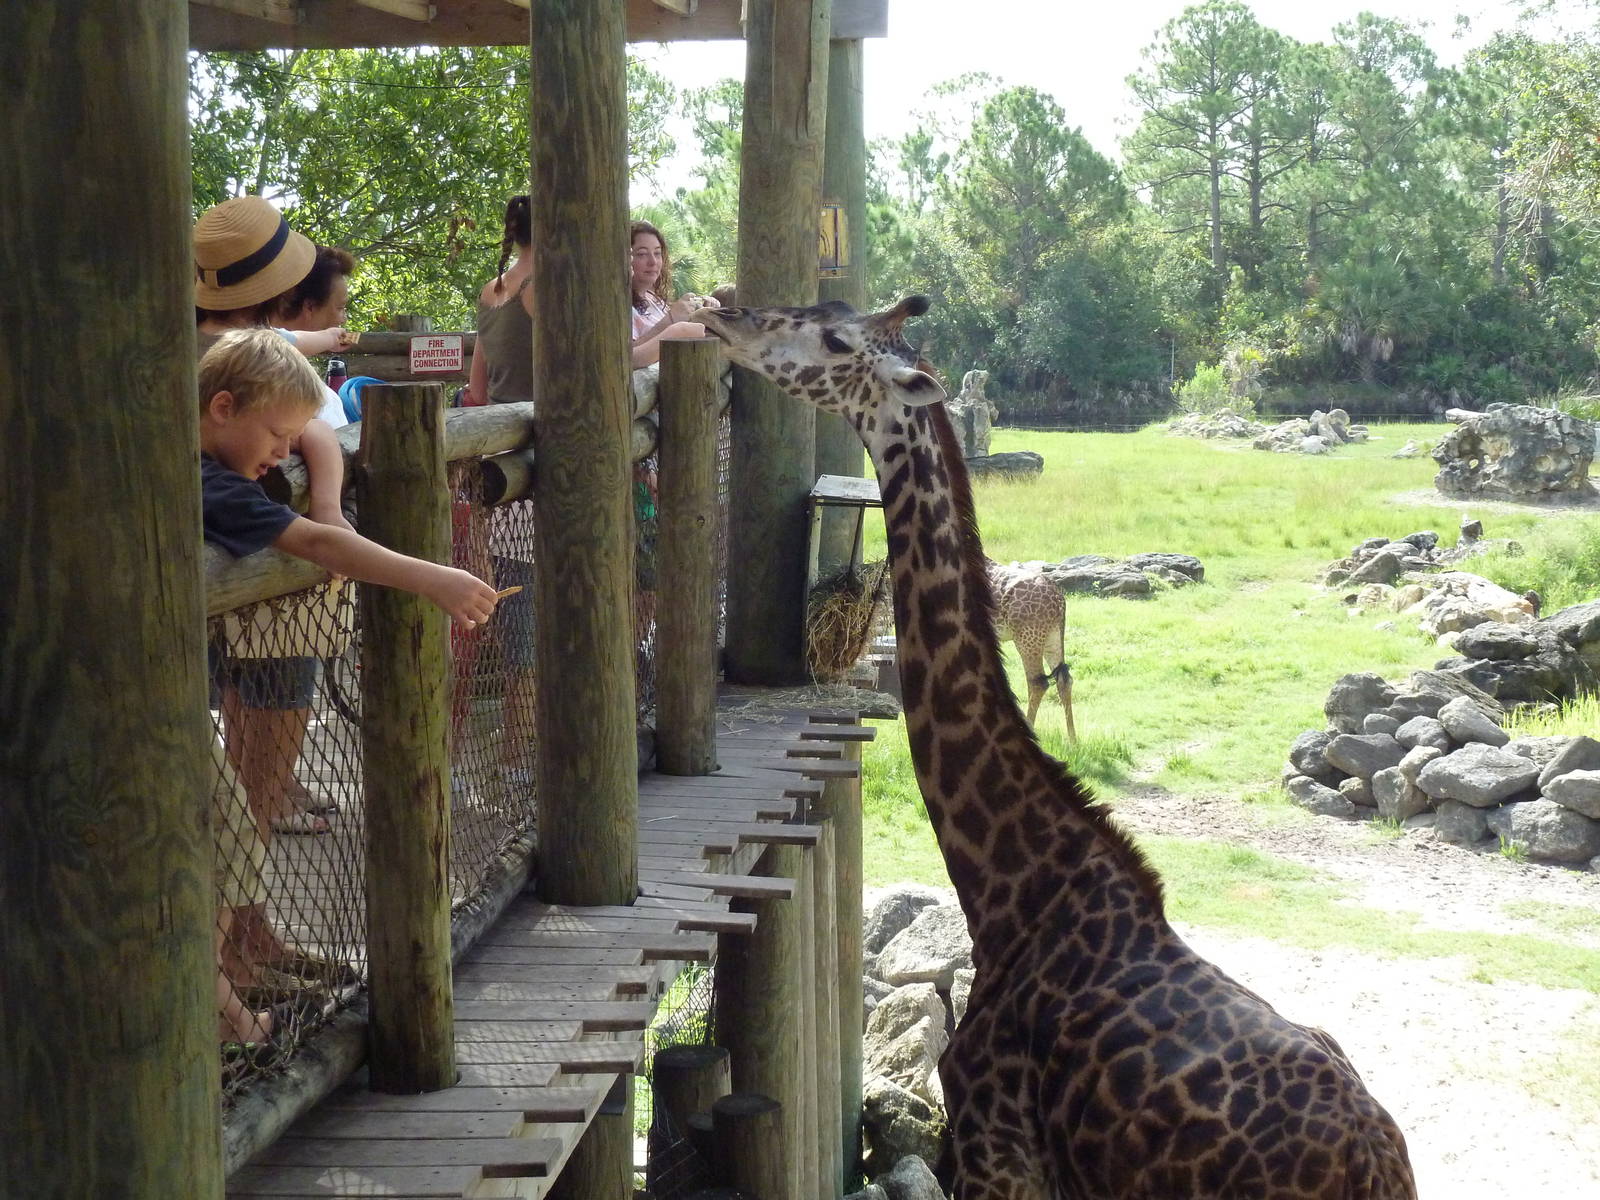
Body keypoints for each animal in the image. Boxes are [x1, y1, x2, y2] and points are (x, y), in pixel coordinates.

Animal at [985, 557, 1076, 735]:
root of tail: (1059, 599)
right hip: (1052, 636)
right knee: (1064, 680)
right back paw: (1073, 739)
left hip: (1027, 636)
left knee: (1037, 682)